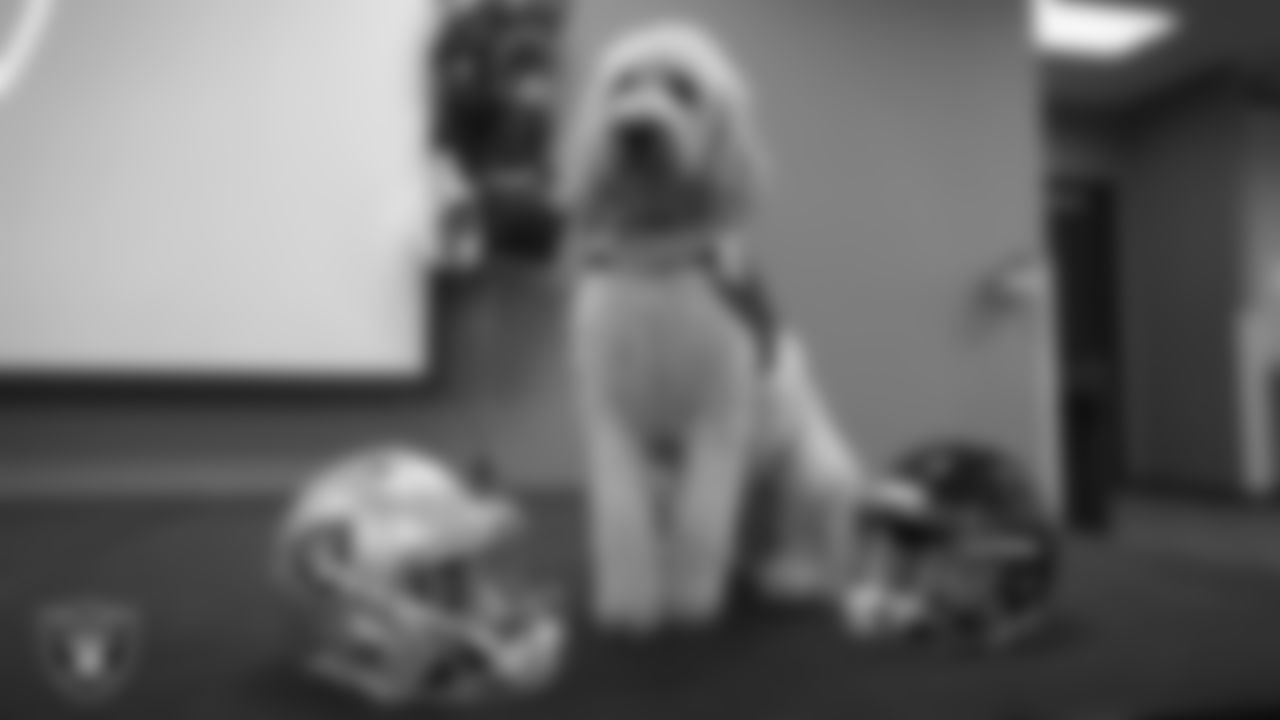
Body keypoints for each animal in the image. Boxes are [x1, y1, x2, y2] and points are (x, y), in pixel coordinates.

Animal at [560, 19, 890, 630]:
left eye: (684, 89)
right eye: (623, 85)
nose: (636, 131)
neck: (655, 252)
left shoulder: (716, 414)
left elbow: (701, 520)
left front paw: (688, 602)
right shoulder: (612, 417)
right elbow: (622, 518)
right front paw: (631, 601)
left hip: (814, 475)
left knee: (828, 557)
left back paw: (794, 575)